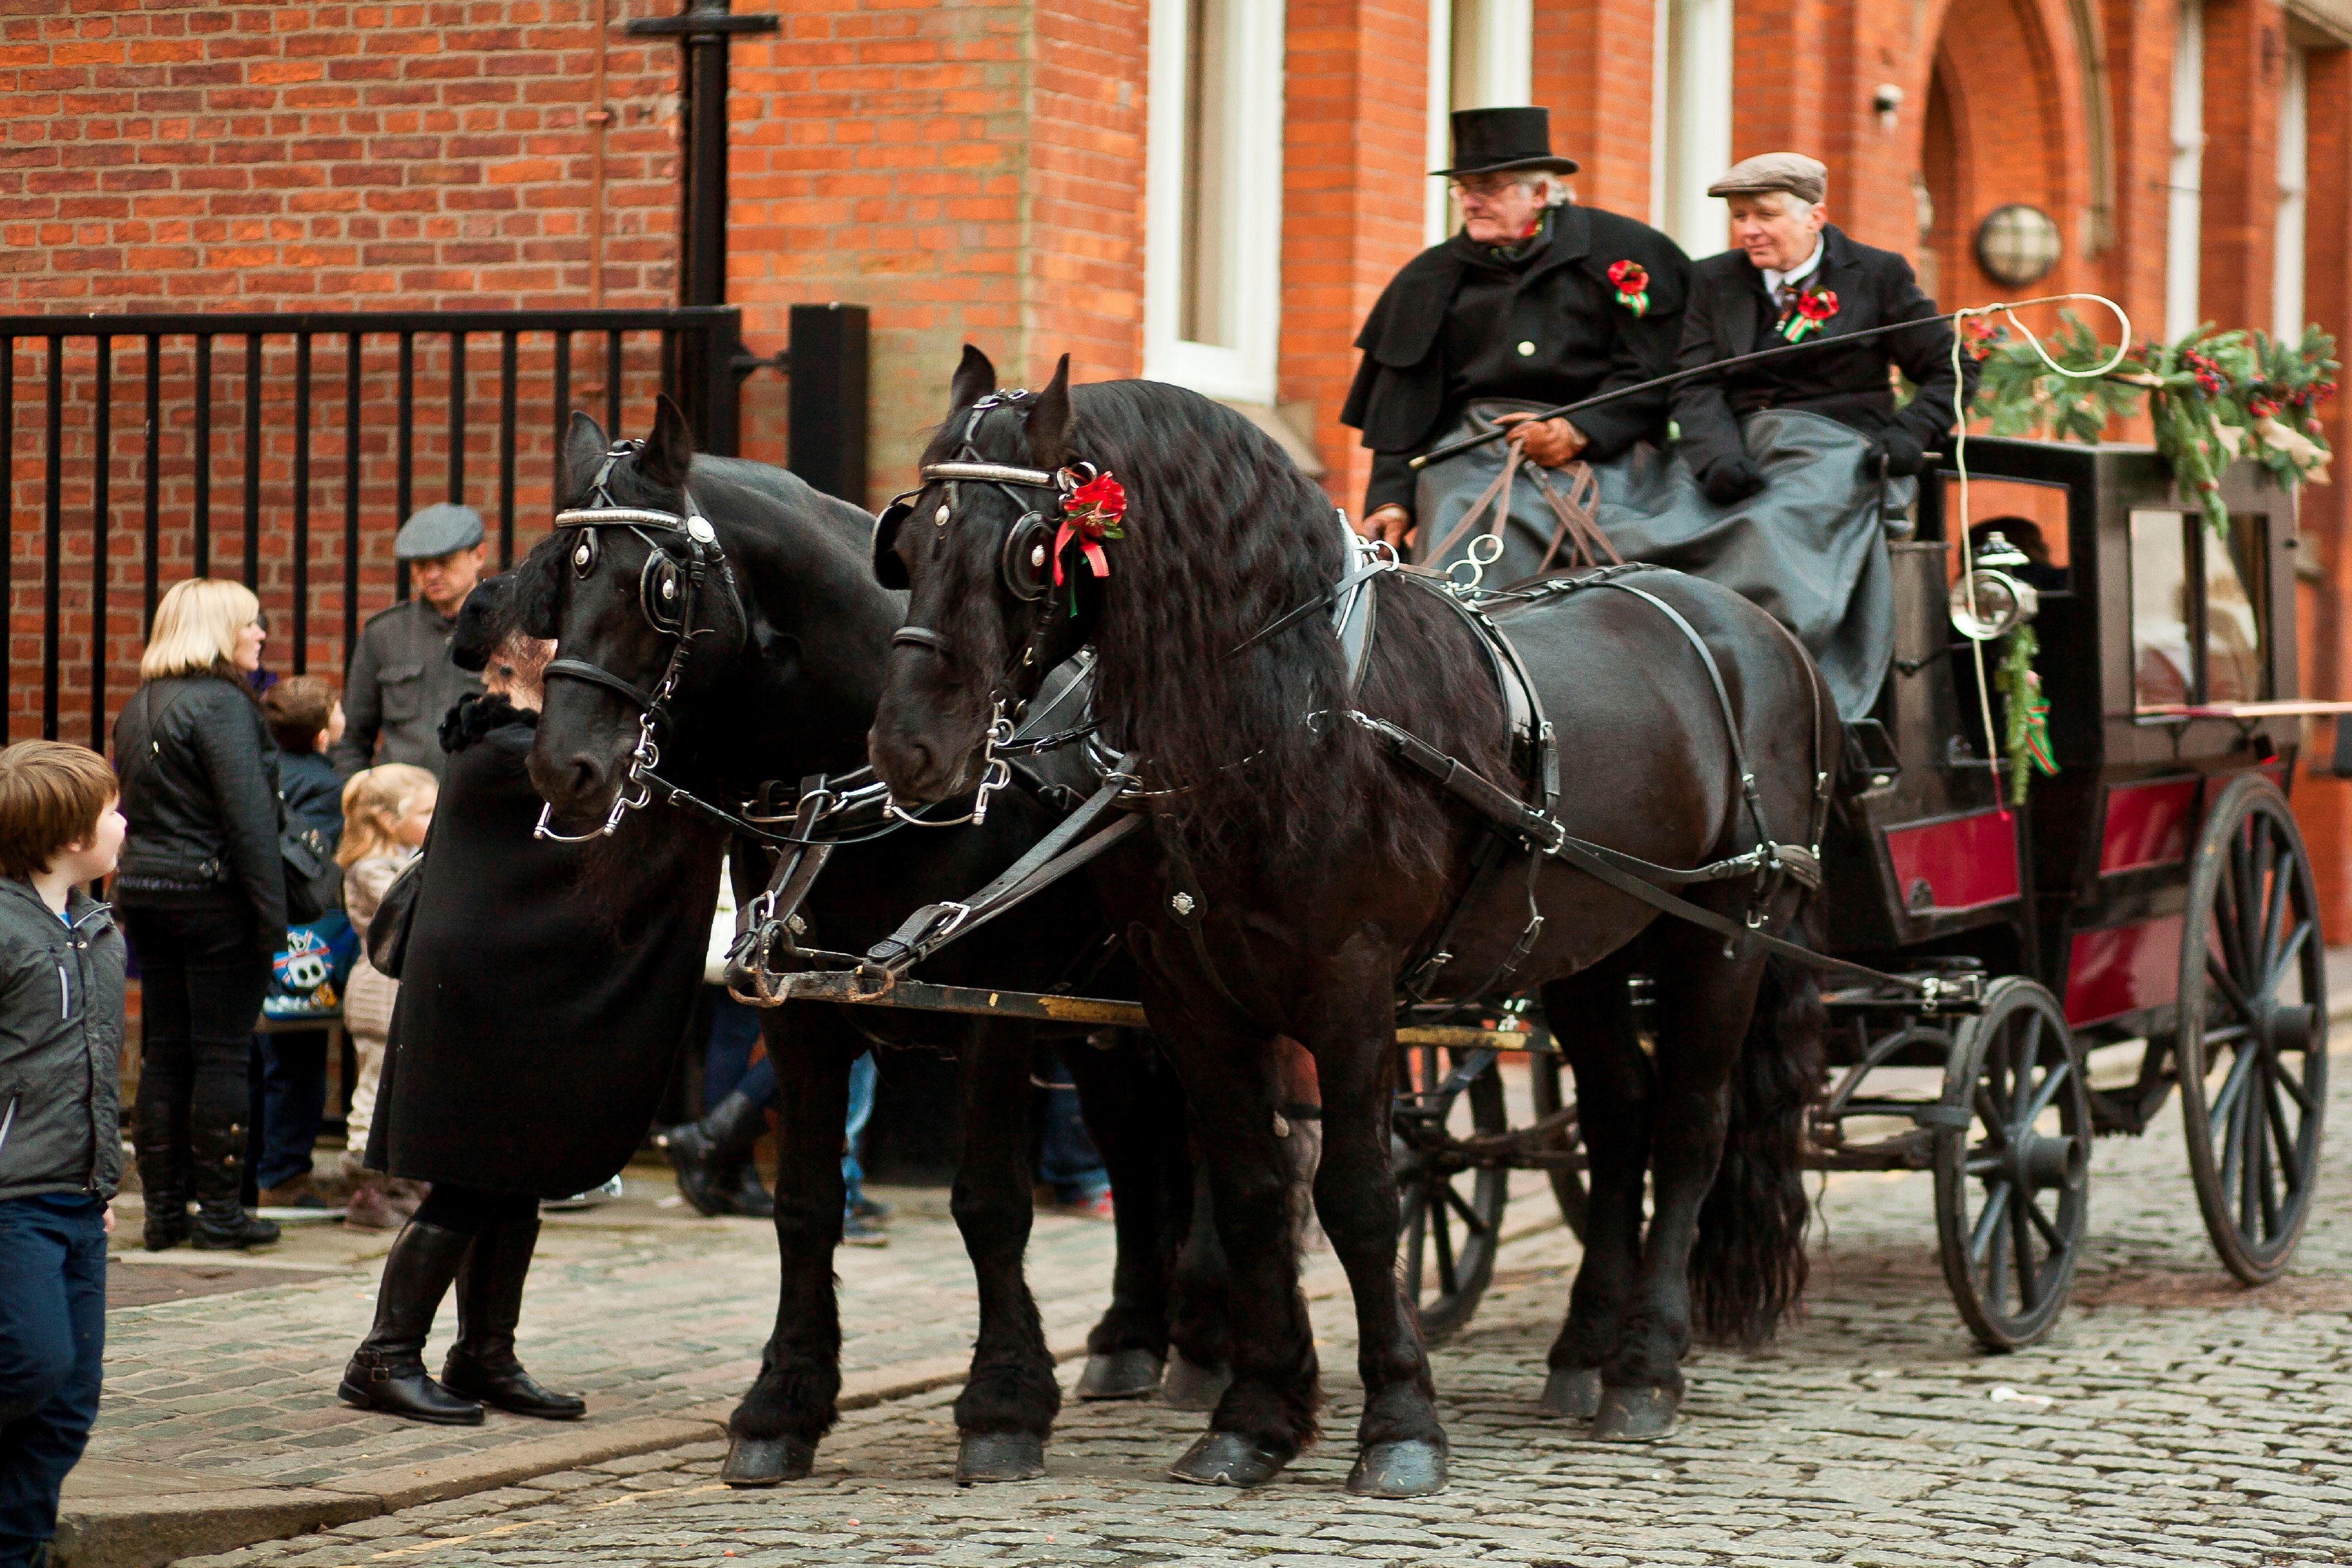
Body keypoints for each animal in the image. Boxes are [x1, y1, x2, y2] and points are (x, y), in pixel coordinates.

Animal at [510, 399, 1213, 1495]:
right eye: (562, 572)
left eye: (658, 587)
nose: (562, 768)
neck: (870, 790)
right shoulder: (804, 1015)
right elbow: (804, 1204)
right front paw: (782, 1404)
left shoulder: (994, 1010)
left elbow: (989, 1202)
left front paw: (1003, 1402)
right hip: (1109, 1025)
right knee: (1144, 1156)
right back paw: (1139, 1338)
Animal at [870, 350, 1834, 1504]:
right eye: (907, 543)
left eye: (1022, 554)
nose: (908, 749)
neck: (1297, 715)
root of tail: (1757, 629)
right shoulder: (1189, 994)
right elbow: (1250, 1191)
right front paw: (1253, 1419)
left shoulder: (1352, 987)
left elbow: (1361, 1197)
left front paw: (1400, 1425)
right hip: (1587, 951)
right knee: (1618, 1120)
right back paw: (1581, 1355)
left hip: (1723, 936)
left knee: (1688, 1132)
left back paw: (1645, 1367)